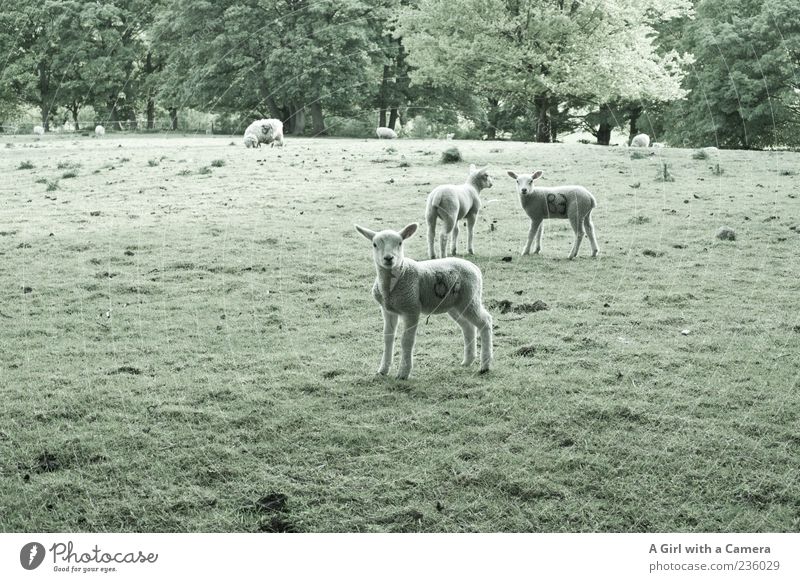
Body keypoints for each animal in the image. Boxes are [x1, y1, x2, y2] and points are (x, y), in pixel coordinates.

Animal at [356, 221, 494, 380]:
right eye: (374, 244)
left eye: (400, 243)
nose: (389, 258)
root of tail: (474, 268)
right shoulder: (387, 310)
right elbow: (388, 338)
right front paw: (383, 370)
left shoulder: (411, 309)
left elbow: (406, 341)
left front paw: (403, 373)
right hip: (455, 305)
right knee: (468, 327)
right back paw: (467, 361)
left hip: (470, 298)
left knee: (485, 322)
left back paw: (485, 365)